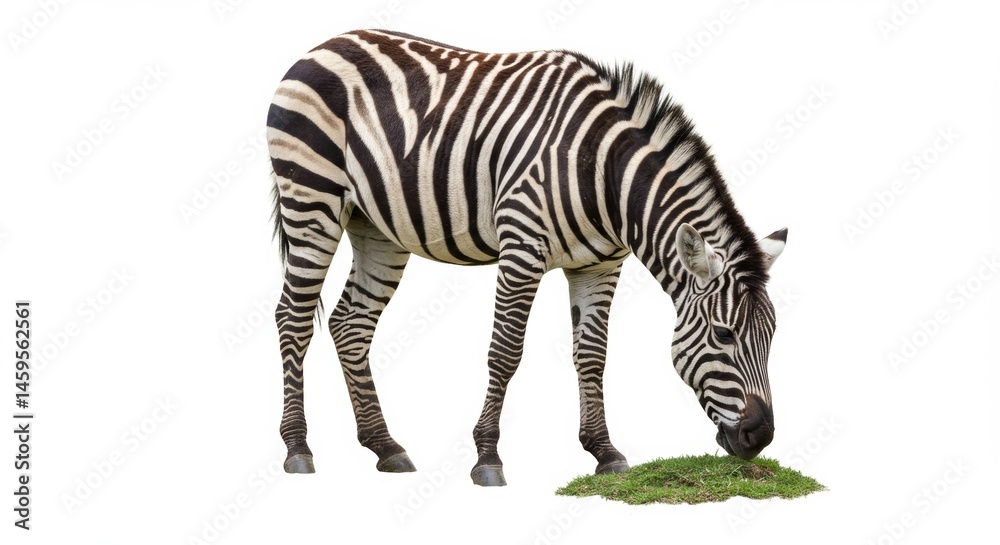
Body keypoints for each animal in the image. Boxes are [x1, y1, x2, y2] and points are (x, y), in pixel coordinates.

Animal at [267, 29, 787, 486]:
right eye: (723, 334)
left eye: (772, 337)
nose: (760, 437)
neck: (604, 174)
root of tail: (326, 43)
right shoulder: (521, 246)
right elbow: (505, 352)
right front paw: (487, 456)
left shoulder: (600, 265)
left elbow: (592, 355)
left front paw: (604, 451)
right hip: (311, 199)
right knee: (293, 318)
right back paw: (297, 449)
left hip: (376, 227)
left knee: (349, 325)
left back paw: (385, 446)